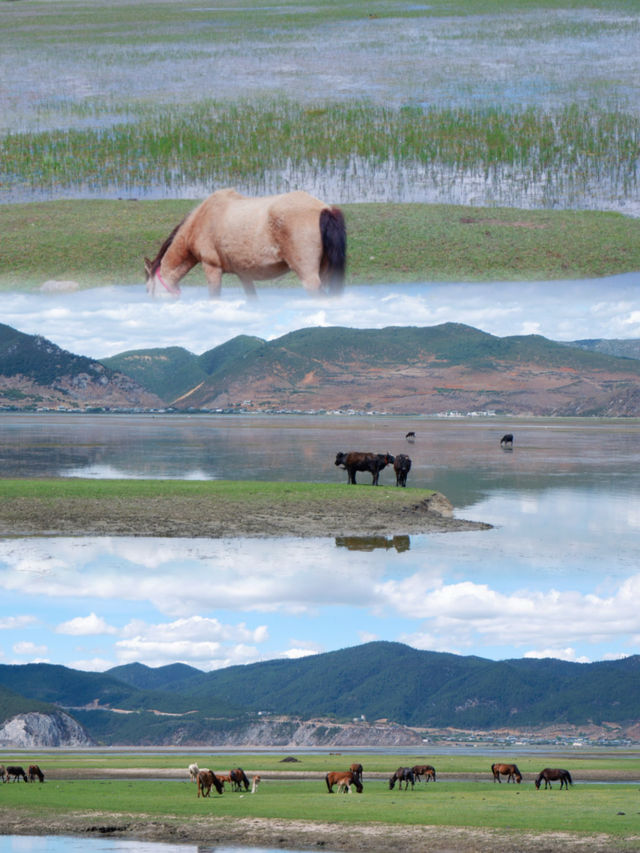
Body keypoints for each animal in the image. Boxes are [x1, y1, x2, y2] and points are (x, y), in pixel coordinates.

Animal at [144, 190, 344, 300]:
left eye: (148, 290)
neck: (201, 220)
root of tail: (325, 209)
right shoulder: (244, 275)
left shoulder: (212, 268)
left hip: (309, 278)